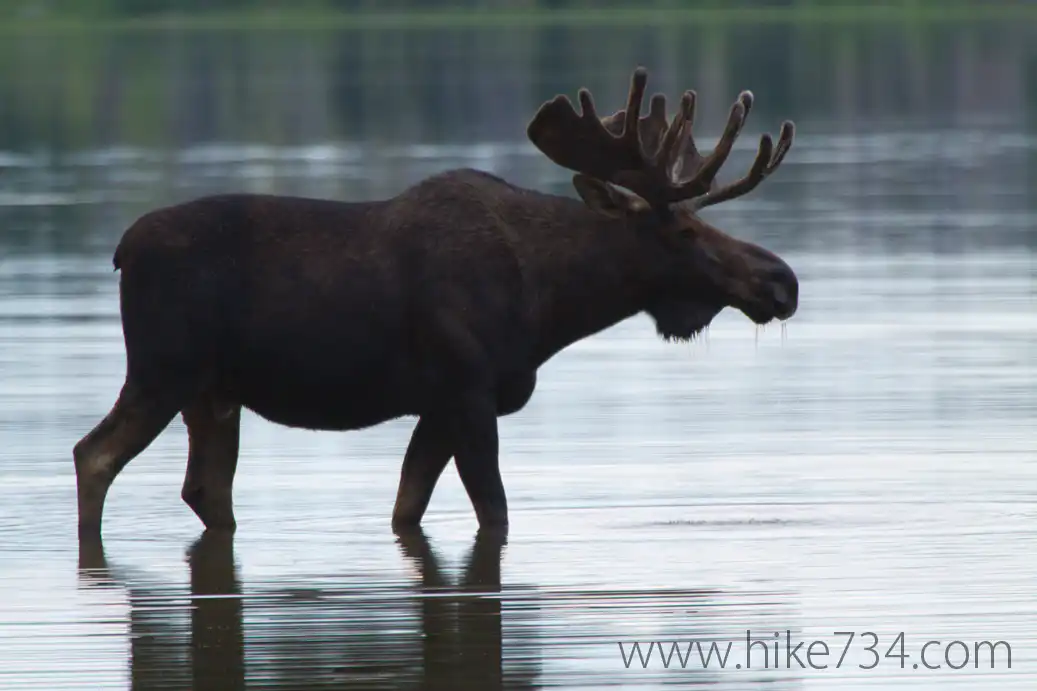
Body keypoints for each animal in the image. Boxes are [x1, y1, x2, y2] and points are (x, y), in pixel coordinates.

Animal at [72, 67, 798, 540]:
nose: (781, 281)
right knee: (93, 455)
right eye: (683, 230)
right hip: (163, 369)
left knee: (204, 488)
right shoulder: (465, 389)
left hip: (214, 392)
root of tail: (120, 251)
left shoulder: (439, 405)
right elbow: (494, 511)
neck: (551, 304)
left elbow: (406, 508)